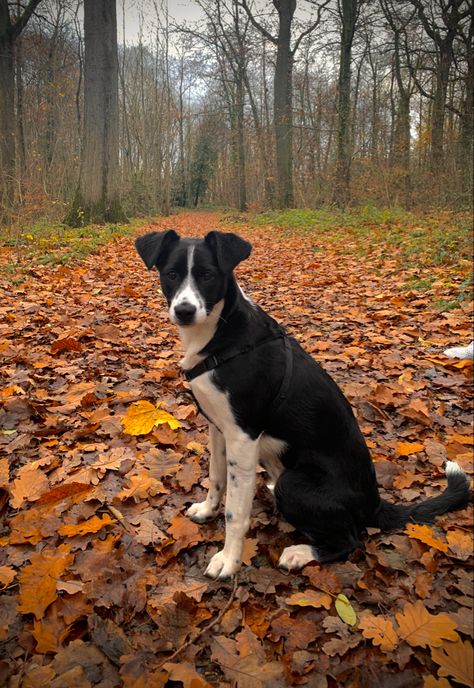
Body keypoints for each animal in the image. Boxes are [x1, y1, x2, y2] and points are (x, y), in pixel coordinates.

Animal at [136, 231, 470, 580]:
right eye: (171, 274)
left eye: (208, 275)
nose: (185, 311)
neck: (222, 335)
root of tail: (375, 504)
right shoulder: (218, 427)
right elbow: (216, 477)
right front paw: (207, 509)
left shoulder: (243, 436)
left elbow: (235, 512)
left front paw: (229, 559)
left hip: (294, 484)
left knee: (351, 541)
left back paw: (300, 553)